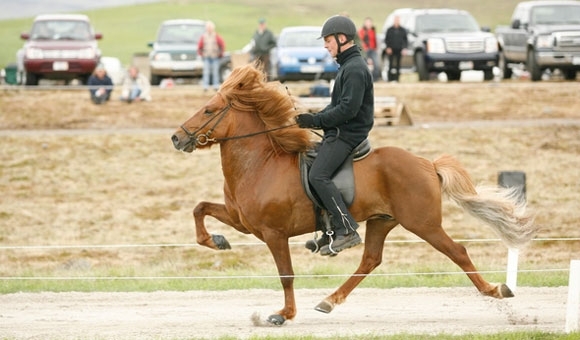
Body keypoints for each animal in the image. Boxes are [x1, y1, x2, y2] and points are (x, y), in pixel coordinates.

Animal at [170, 63, 536, 326]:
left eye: (208, 110)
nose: (177, 138)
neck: (260, 163)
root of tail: (427, 164)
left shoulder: (274, 233)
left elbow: (286, 274)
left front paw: (283, 315)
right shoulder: (243, 222)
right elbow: (199, 209)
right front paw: (217, 241)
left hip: (423, 223)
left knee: (457, 252)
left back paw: (496, 291)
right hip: (382, 221)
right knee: (370, 260)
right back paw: (328, 301)